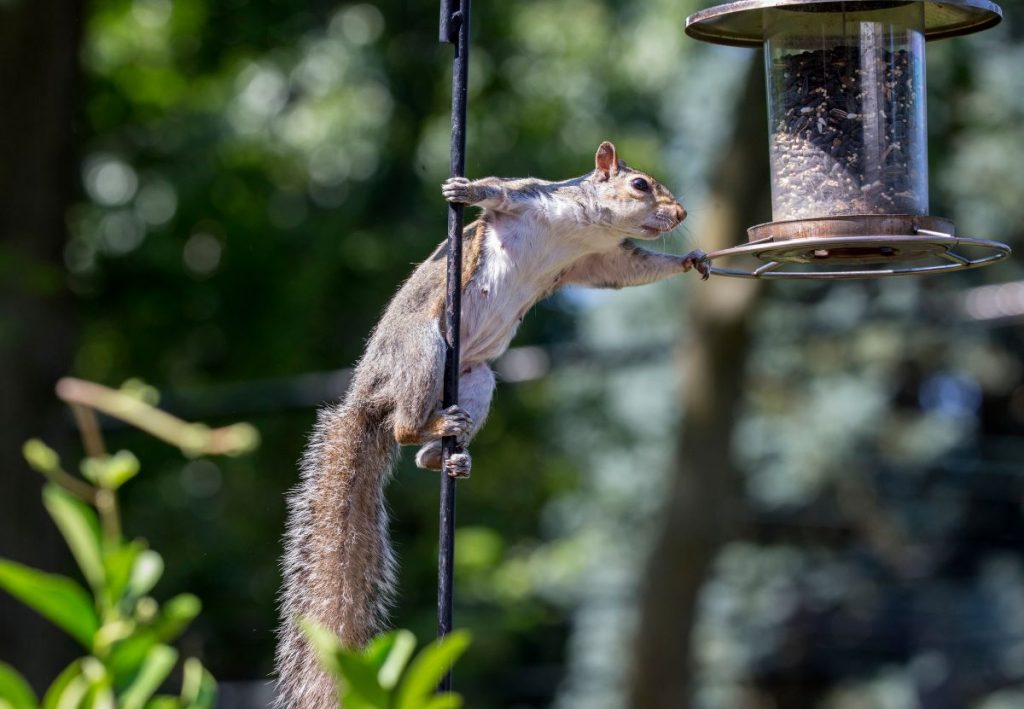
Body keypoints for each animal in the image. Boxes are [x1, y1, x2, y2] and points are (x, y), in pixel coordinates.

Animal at [272, 141, 708, 704]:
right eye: (639, 185)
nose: (681, 214)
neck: (587, 227)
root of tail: (367, 395)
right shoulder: (530, 199)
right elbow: (499, 190)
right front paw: (465, 188)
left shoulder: (600, 260)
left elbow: (633, 271)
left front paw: (690, 259)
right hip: (423, 348)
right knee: (402, 428)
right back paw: (430, 432)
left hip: (475, 379)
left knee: (419, 447)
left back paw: (448, 455)